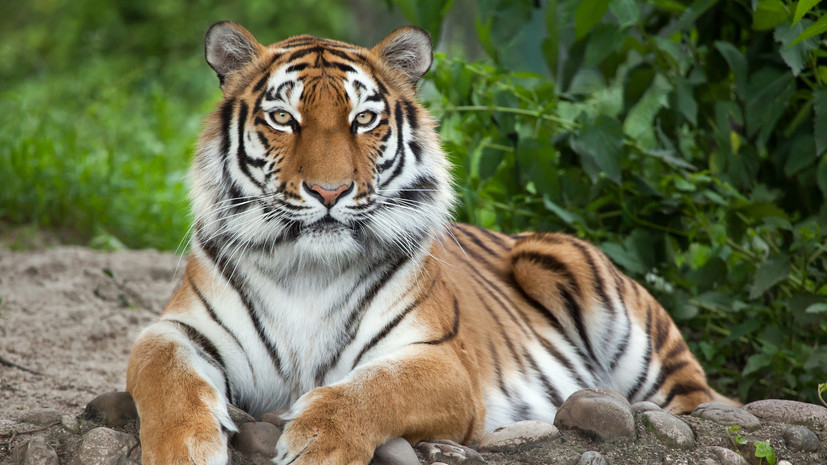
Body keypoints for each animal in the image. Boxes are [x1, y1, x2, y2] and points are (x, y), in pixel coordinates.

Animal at [125, 21, 736, 465]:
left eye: (363, 120)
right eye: (283, 117)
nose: (329, 191)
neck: (307, 270)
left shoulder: (441, 362)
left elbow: (373, 389)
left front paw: (316, 442)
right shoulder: (178, 330)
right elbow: (164, 374)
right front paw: (185, 449)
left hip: (581, 282)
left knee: (699, 402)